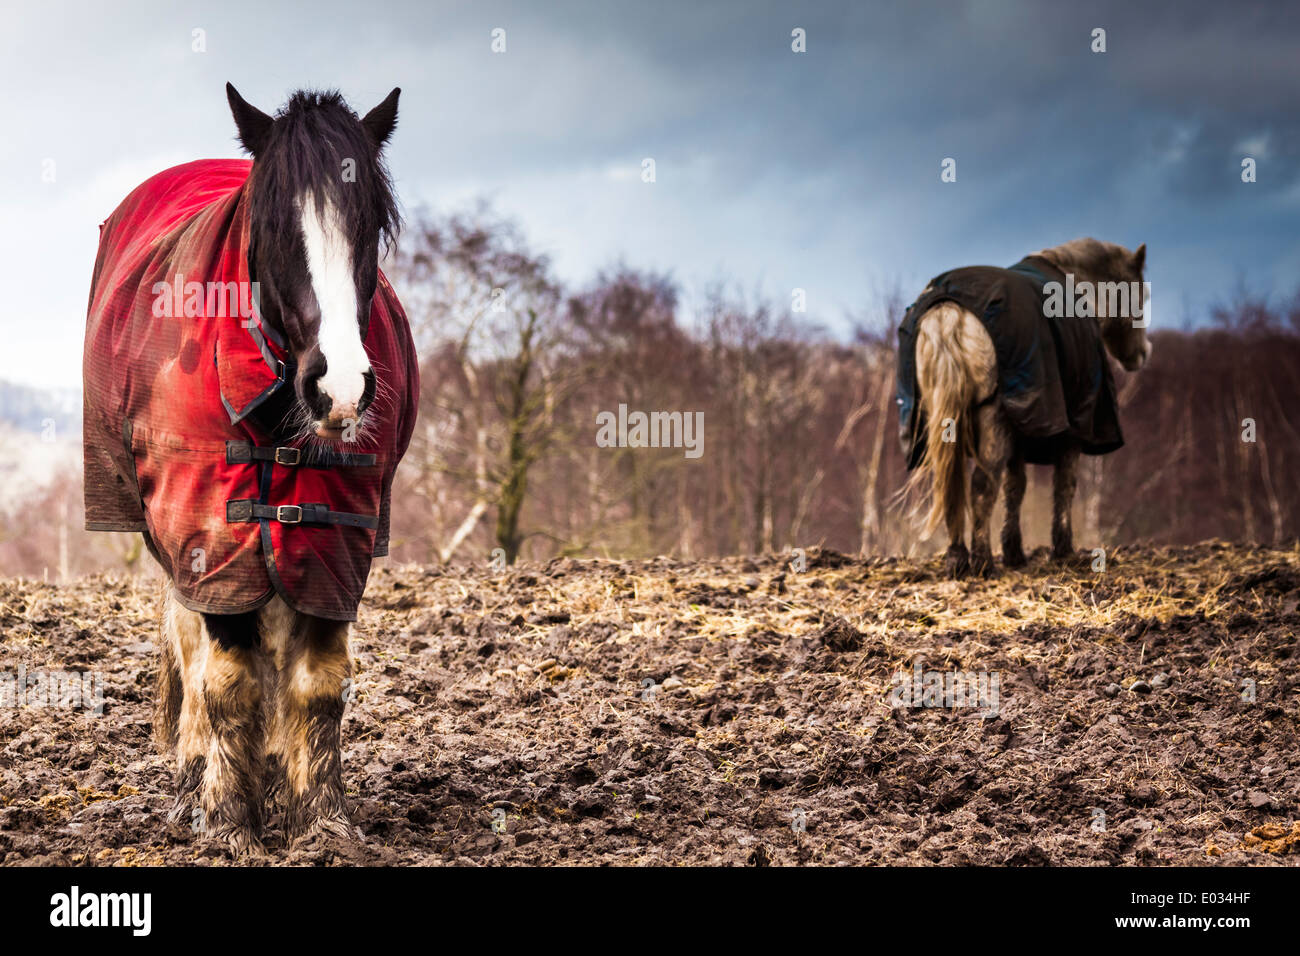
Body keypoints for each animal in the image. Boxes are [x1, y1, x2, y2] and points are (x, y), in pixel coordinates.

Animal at [82, 84, 418, 855]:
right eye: (272, 227)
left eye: (370, 225)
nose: (342, 390)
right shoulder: (209, 532)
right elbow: (227, 679)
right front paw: (228, 821)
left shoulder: (336, 540)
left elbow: (318, 683)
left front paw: (321, 821)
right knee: (193, 647)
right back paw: (196, 778)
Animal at [896, 238, 1150, 578]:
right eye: (1142, 295)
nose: (1143, 354)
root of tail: (949, 314)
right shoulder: (1073, 430)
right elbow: (1064, 486)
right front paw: (1063, 550)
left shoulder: (1020, 429)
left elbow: (1015, 488)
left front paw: (1014, 552)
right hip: (992, 418)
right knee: (981, 486)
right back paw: (983, 562)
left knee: (951, 485)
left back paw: (958, 559)